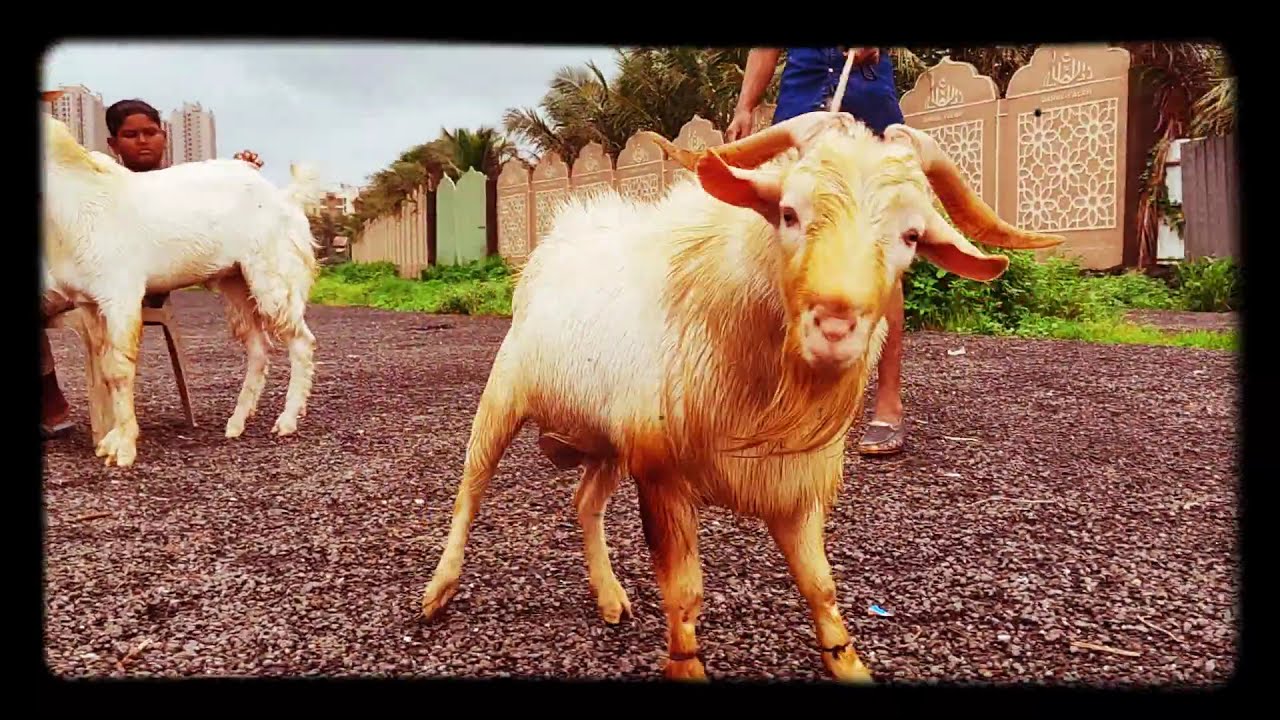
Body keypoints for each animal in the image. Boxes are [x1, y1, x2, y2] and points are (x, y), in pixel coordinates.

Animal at [41, 99, 324, 468]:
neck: (78, 201)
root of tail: (286, 197)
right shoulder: (89, 304)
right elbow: (105, 371)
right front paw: (111, 439)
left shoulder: (121, 296)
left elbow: (119, 369)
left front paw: (125, 448)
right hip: (234, 282)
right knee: (259, 348)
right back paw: (236, 423)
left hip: (273, 276)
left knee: (301, 341)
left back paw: (287, 421)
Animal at [417, 110, 1064, 681]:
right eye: (789, 213)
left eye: (910, 235)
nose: (834, 326)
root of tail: (560, 235)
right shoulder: (663, 474)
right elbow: (684, 591)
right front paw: (685, 664)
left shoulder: (791, 483)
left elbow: (820, 584)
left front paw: (846, 661)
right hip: (504, 395)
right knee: (470, 488)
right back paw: (438, 591)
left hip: (607, 442)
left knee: (585, 501)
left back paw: (609, 596)